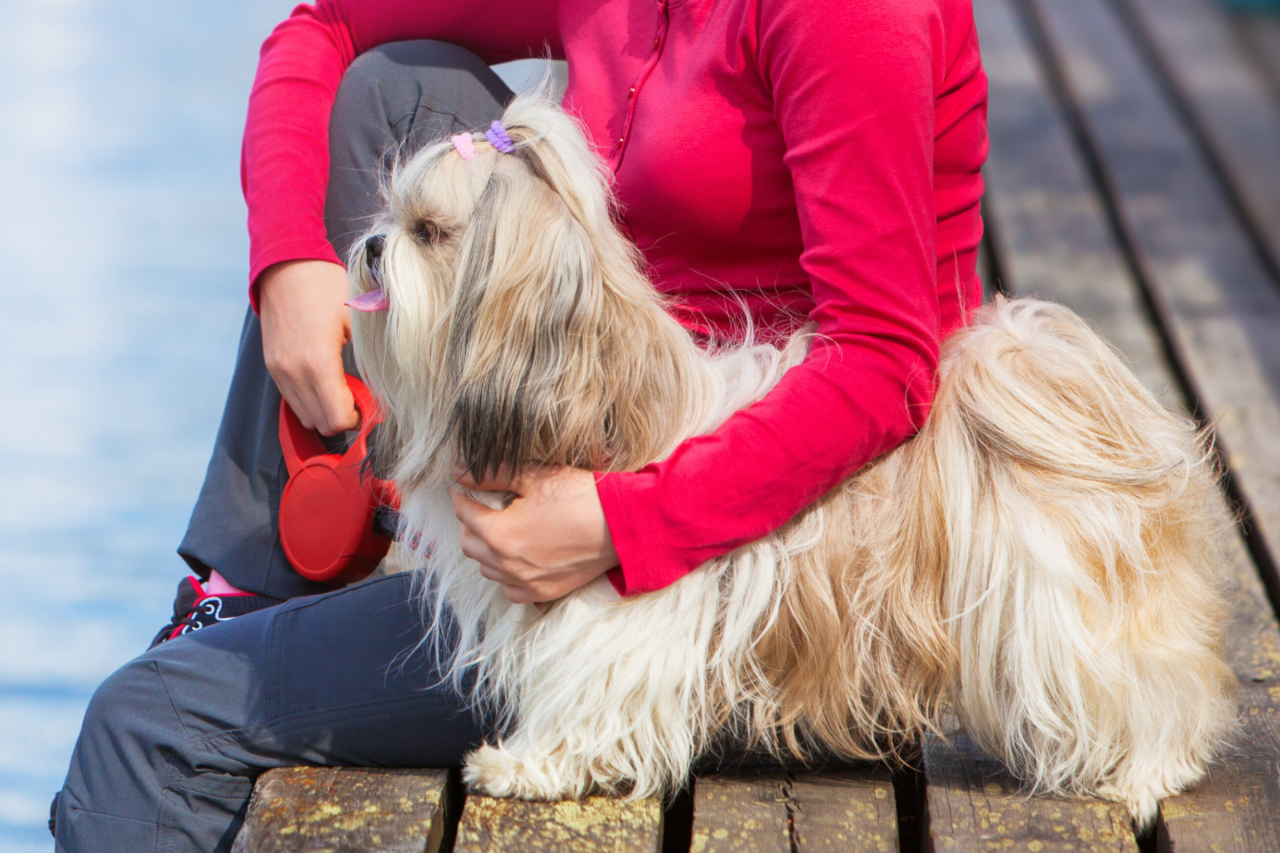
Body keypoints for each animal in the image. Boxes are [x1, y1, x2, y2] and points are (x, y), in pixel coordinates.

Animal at [348, 92, 1239, 824]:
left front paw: (532, 764)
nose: (369, 245)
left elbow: (585, 686)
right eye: (390, 215)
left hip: (1065, 614)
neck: (594, 397)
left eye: (429, 232)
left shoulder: (604, 603)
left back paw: (1145, 774)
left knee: (1151, 687)